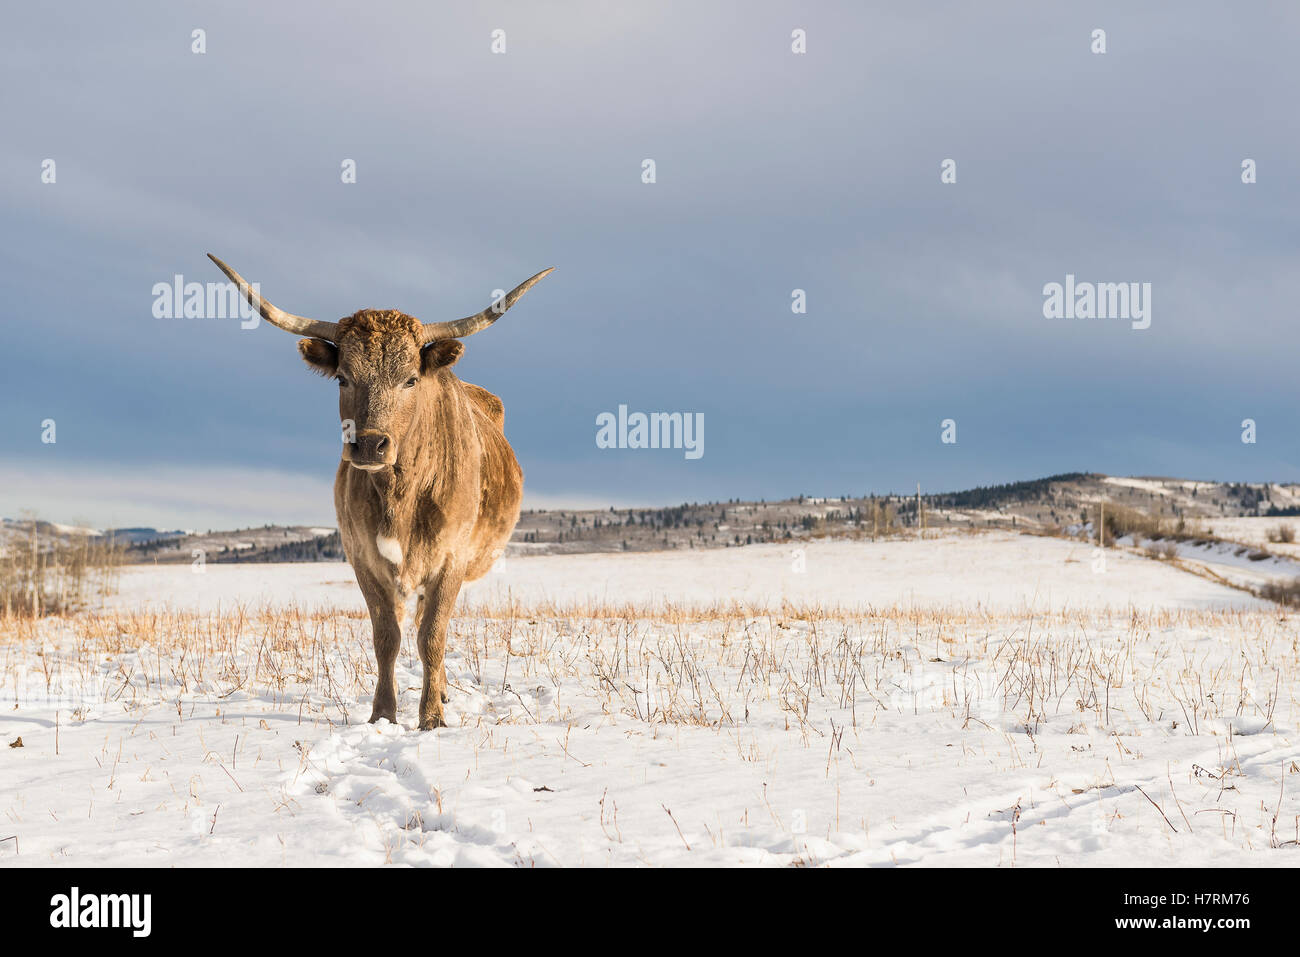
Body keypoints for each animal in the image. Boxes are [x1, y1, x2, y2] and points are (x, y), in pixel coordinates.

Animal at [208, 254, 552, 729]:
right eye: (342, 378)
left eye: (410, 380)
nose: (370, 444)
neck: (400, 495)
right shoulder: (362, 557)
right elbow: (386, 636)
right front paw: (384, 714)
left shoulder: (452, 558)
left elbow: (432, 636)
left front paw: (431, 717)